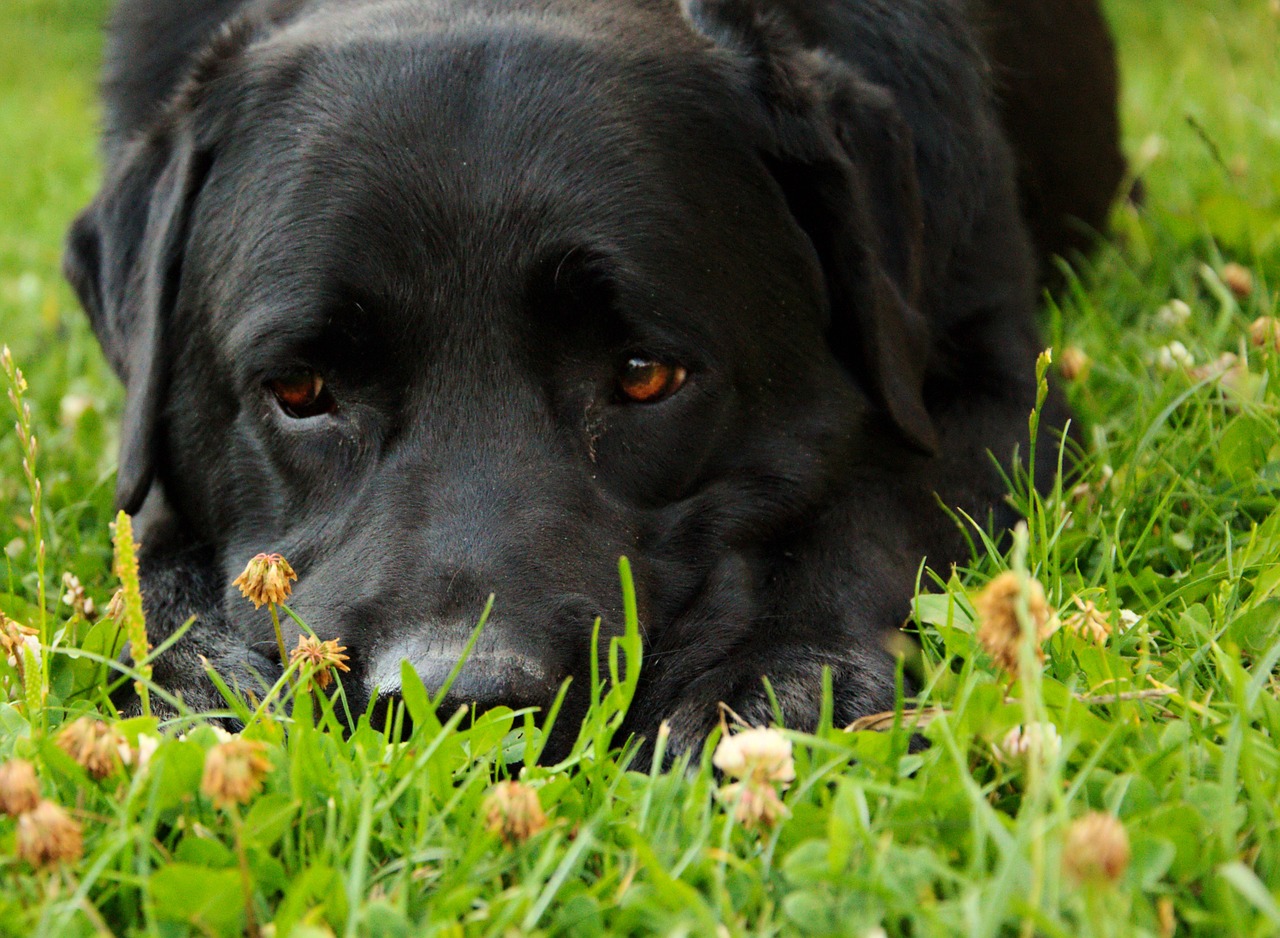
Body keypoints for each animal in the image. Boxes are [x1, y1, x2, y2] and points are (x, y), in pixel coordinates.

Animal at [64, 0, 1121, 762]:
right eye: (300, 392)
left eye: (645, 376)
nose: (463, 703)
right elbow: (148, 560)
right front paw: (202, 683)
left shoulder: (995, 386)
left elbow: (878, 507)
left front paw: (773, 681)